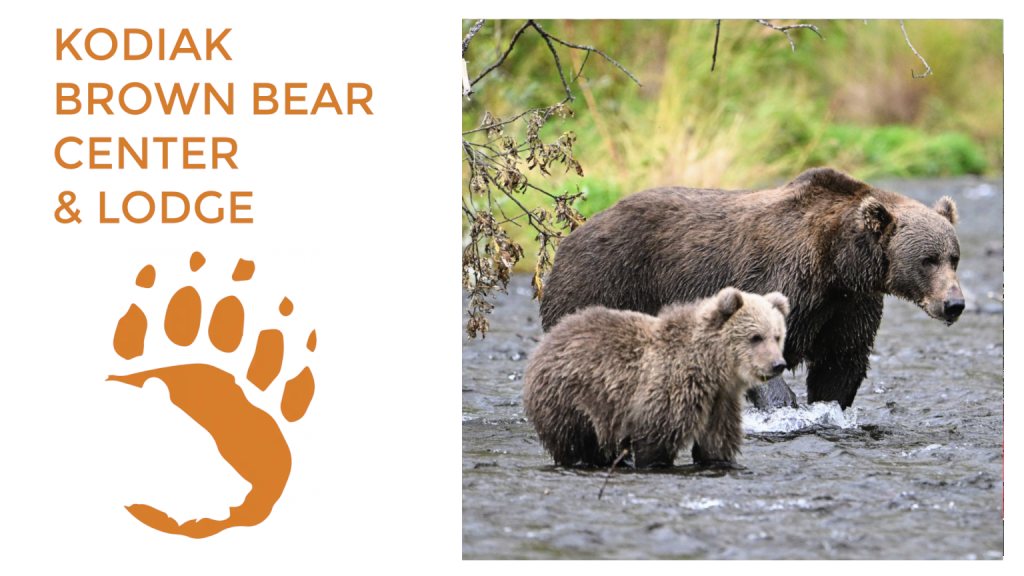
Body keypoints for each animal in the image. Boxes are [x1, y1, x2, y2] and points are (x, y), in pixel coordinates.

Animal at [523, 288, 789, 468]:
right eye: (756, 337)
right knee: (576, 443)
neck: (710, 368)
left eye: (777, 335)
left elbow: (717, 446)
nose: (778, 364)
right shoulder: (670, 391)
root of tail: (551, 336)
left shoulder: (720, 402)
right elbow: (656, 441)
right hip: (570, 398)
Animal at [538, 167, 964, 417]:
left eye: (954, 257)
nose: (954, 303)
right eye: (927, 259)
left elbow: (840, 362)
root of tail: (571, 235)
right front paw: (782, 405)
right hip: (604, 280)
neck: (839, 263)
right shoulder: (784, 276)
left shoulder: (849, 304)